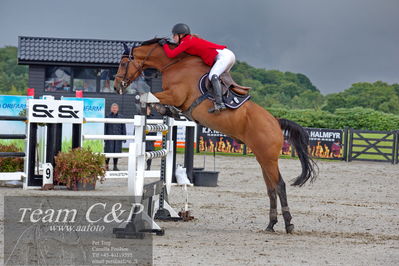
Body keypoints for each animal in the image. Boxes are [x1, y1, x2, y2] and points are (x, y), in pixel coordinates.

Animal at [114, 38, 318, 233]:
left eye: (123, 63)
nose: (117, 87)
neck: (174, 64)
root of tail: (275, 121)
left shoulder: (175, 95)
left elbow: (147, 96)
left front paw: (146, 104)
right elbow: (157, 102)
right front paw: (163, 110)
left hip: (268, 159)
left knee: (280, 185)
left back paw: (289, 224)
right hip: (263, 159)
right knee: (271, 188)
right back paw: (271, 224)